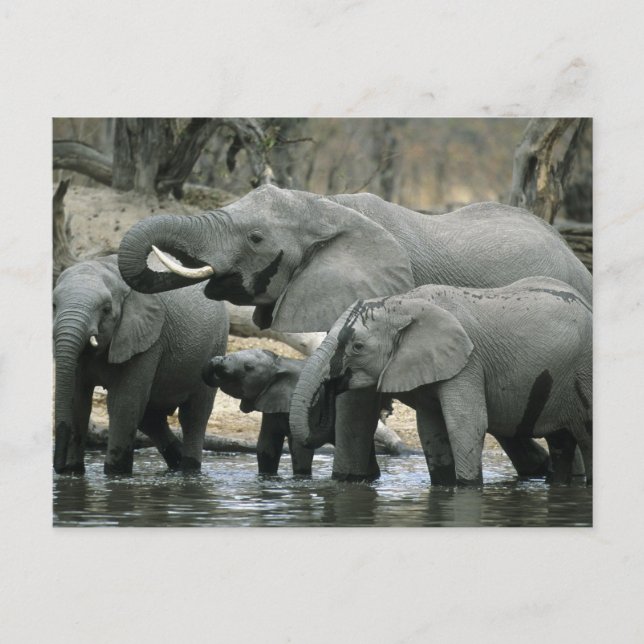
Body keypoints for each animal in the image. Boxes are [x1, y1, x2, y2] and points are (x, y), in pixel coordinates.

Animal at [52, 255, 228, 475]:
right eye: (53, 305)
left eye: (106, 309)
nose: (58, 468)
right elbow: (78, 401)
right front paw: (73, 472)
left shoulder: (148, 340)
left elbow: (124, 403)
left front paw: (115, 473)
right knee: (151, 418)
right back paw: (175, 464)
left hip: (215, 347)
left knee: (194, 415)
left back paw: (188, 469)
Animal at [289, 277, 593, 486]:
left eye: (358, 347)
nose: (331, 385)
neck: (404, 303)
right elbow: (431, 430)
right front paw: (444, 487)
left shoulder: (468, 363)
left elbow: (466, 423)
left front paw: (467, 487)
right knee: (561, 441)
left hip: (584, 369)